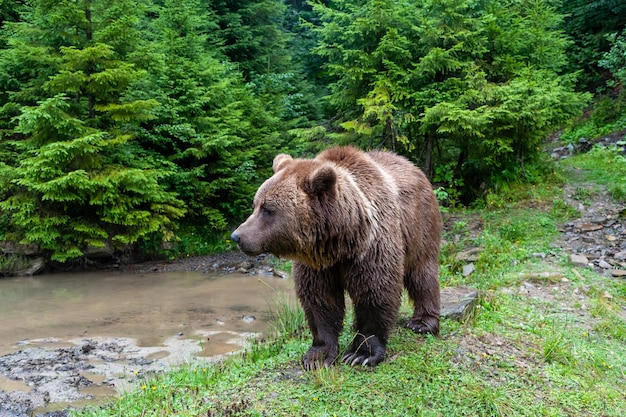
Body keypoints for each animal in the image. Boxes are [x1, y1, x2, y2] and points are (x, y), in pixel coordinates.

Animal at [232, 145, 442, 368]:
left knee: (422, 272)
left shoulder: (371, 247)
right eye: (255, 204)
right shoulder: (317, 263)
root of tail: (413, 166)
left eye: (268, 209)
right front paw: (318, 355)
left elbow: (375, 291)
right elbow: (320, 298)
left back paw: (422, 322)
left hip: (420, 224)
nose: (237, 236)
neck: (340, 240)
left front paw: (361, 353)